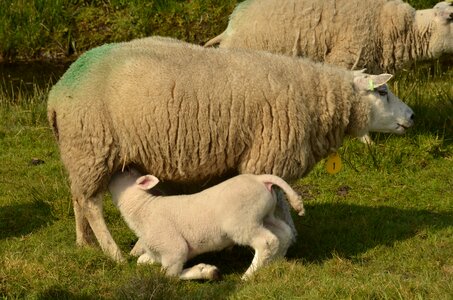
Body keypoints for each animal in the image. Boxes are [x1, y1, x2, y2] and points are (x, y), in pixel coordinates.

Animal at [47, 35, 414, 262]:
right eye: (382, 92)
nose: (411, 116)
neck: (314, 96)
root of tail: (57, 90)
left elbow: (281, 199)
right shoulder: (268, 153)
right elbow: (277, 200)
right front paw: (287, 242)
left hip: (79, 153)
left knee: (78, 197)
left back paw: (85, 243)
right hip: (93, 145)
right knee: (91, 204)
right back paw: (113, 253)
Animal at [107, 169, 304, 282]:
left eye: (123, 176)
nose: (114, 171)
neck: (142, 209)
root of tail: (261, 179)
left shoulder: (174, 249)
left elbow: (169, 276)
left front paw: (206, 271)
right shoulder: (159, 251)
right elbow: (141, 261)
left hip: (243, 222)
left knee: (267, 242)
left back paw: (249, 275)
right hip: (265, 216)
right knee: (283, 234)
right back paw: (272, 264)